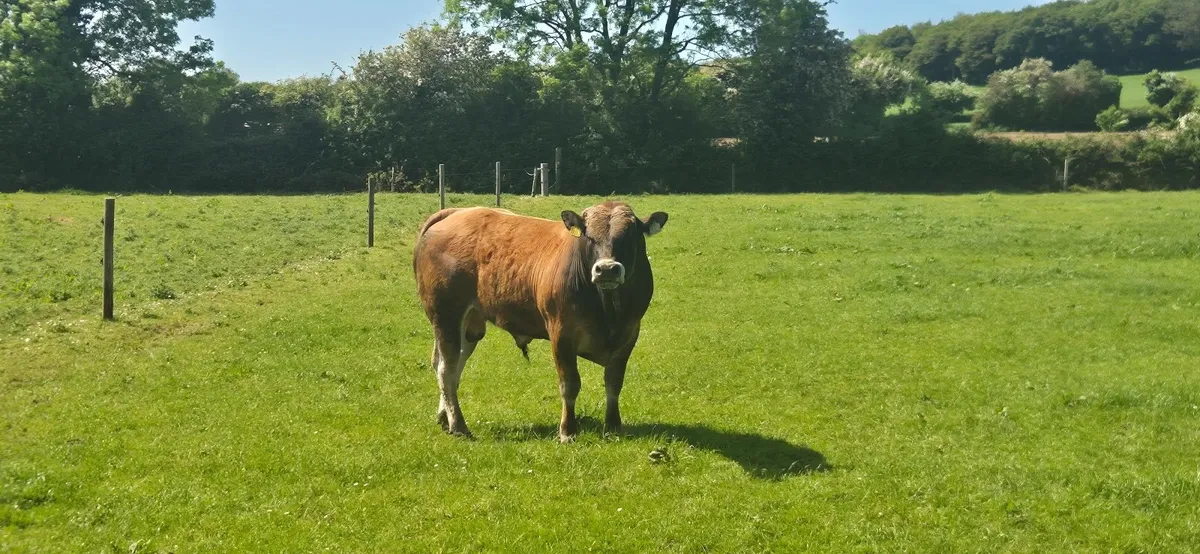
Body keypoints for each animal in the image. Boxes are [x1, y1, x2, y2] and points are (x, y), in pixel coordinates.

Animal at [412, 201, 669, 442]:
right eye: (589, 236)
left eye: (630, 236)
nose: (606, 269)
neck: (608, 310)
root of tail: (456, 212)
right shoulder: (561, 335)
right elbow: (570, 384)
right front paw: (567, 431)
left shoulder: (629, 335)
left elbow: (614, 383)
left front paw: (614, 425)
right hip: (446, 316)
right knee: (446, 369)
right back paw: (458, 425)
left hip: (469, 324)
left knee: (453, 366)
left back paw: (444, 418)